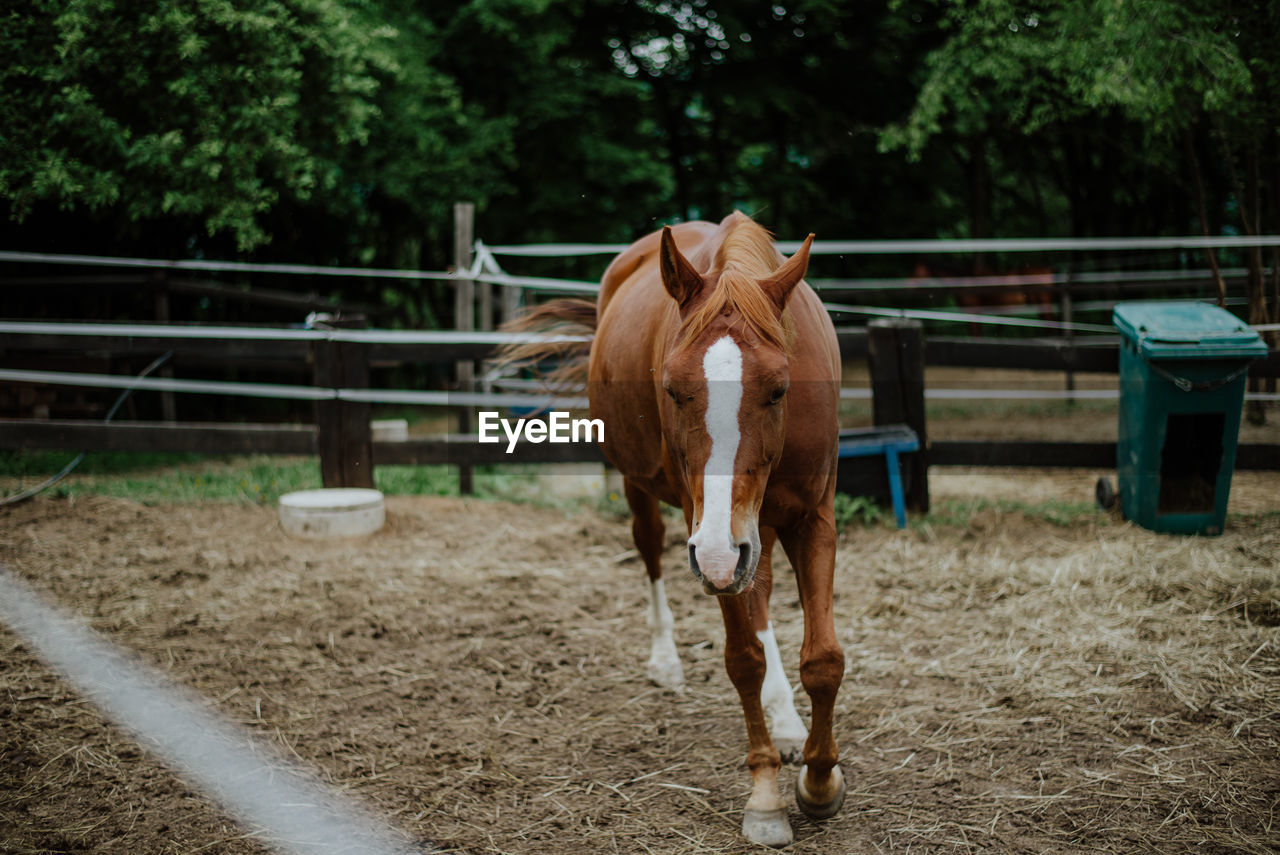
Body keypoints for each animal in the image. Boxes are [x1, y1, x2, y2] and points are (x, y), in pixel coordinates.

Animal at [504, 209, 844, 844]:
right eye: (672, 389)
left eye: (779, 389)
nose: (718, 552)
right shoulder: (710, 535)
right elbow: (743, 659)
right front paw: (766, 796)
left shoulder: (810, 519)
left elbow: (823, 659)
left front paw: (819, 780)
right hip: (650, 494)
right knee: (653, 551)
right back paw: (666, 661)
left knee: (759, 591)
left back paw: (787, 721)